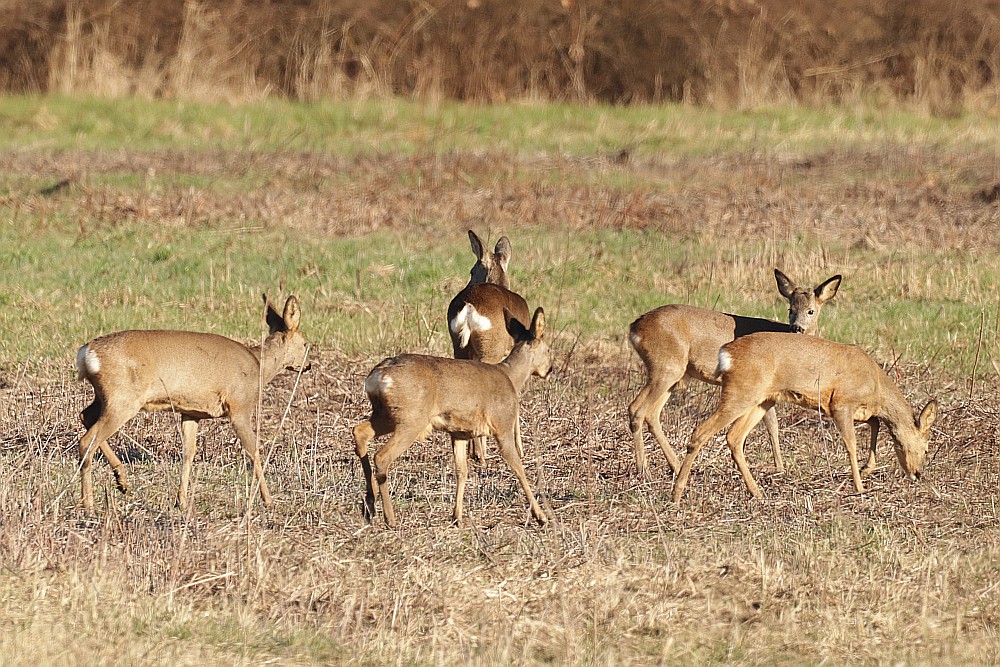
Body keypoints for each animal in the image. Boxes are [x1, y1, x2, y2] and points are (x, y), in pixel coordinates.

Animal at [74, 294, 306, 516]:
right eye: (305, 344)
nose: (308, 365)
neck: (258, 367)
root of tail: (87, 353)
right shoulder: (239, 406)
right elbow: (253, 450)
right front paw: (268, 500)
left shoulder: (191, 412)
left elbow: (188, 453)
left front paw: (182, 502)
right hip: (123, 398)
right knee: (87, 441)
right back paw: (89, 506)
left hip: (106, 397)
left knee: (85, 416)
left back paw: (121, 481)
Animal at [354, 306, 556, 528]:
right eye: (549, 350)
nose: (550, 369)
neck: (511, 378)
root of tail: (379, 376)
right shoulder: (502, 423)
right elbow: (518, 467)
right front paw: (542, 516)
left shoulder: (459, 432)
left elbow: (461, 470)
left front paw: (457, 516)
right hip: (411, 418)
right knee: (381, 456)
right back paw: (390, 518)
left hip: (386, 414)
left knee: (359, 431)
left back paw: (369, 506)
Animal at [450, 228, 536, 460]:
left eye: (471, 270)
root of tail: (469, 307)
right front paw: (520, 449)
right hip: (490, 349)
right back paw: (481, 453)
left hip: (459, 348)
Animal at [628, 268, 840, 478]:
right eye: (791, 310)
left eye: (811, 310)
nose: (796, 328)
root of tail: (634, 327)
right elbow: (772, 424)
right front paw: (779, 467)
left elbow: (770, 424)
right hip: (666, 366)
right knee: (637, 408)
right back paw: (643, 470)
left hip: (675, 375)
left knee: (651, 413)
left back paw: (675, 466)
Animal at [672, 332, 936, 504]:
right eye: (925, 448)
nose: (918, 473)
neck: (876, 386)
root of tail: (726, 353)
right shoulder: (840, 403)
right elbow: (851, 444)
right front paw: (859, 487)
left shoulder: (861, 410)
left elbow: (875, 423)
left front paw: (867, 469)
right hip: (740, 392)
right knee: (701, 432)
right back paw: (676, 492)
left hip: (762, 399)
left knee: (734, 437)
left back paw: (757, 492)